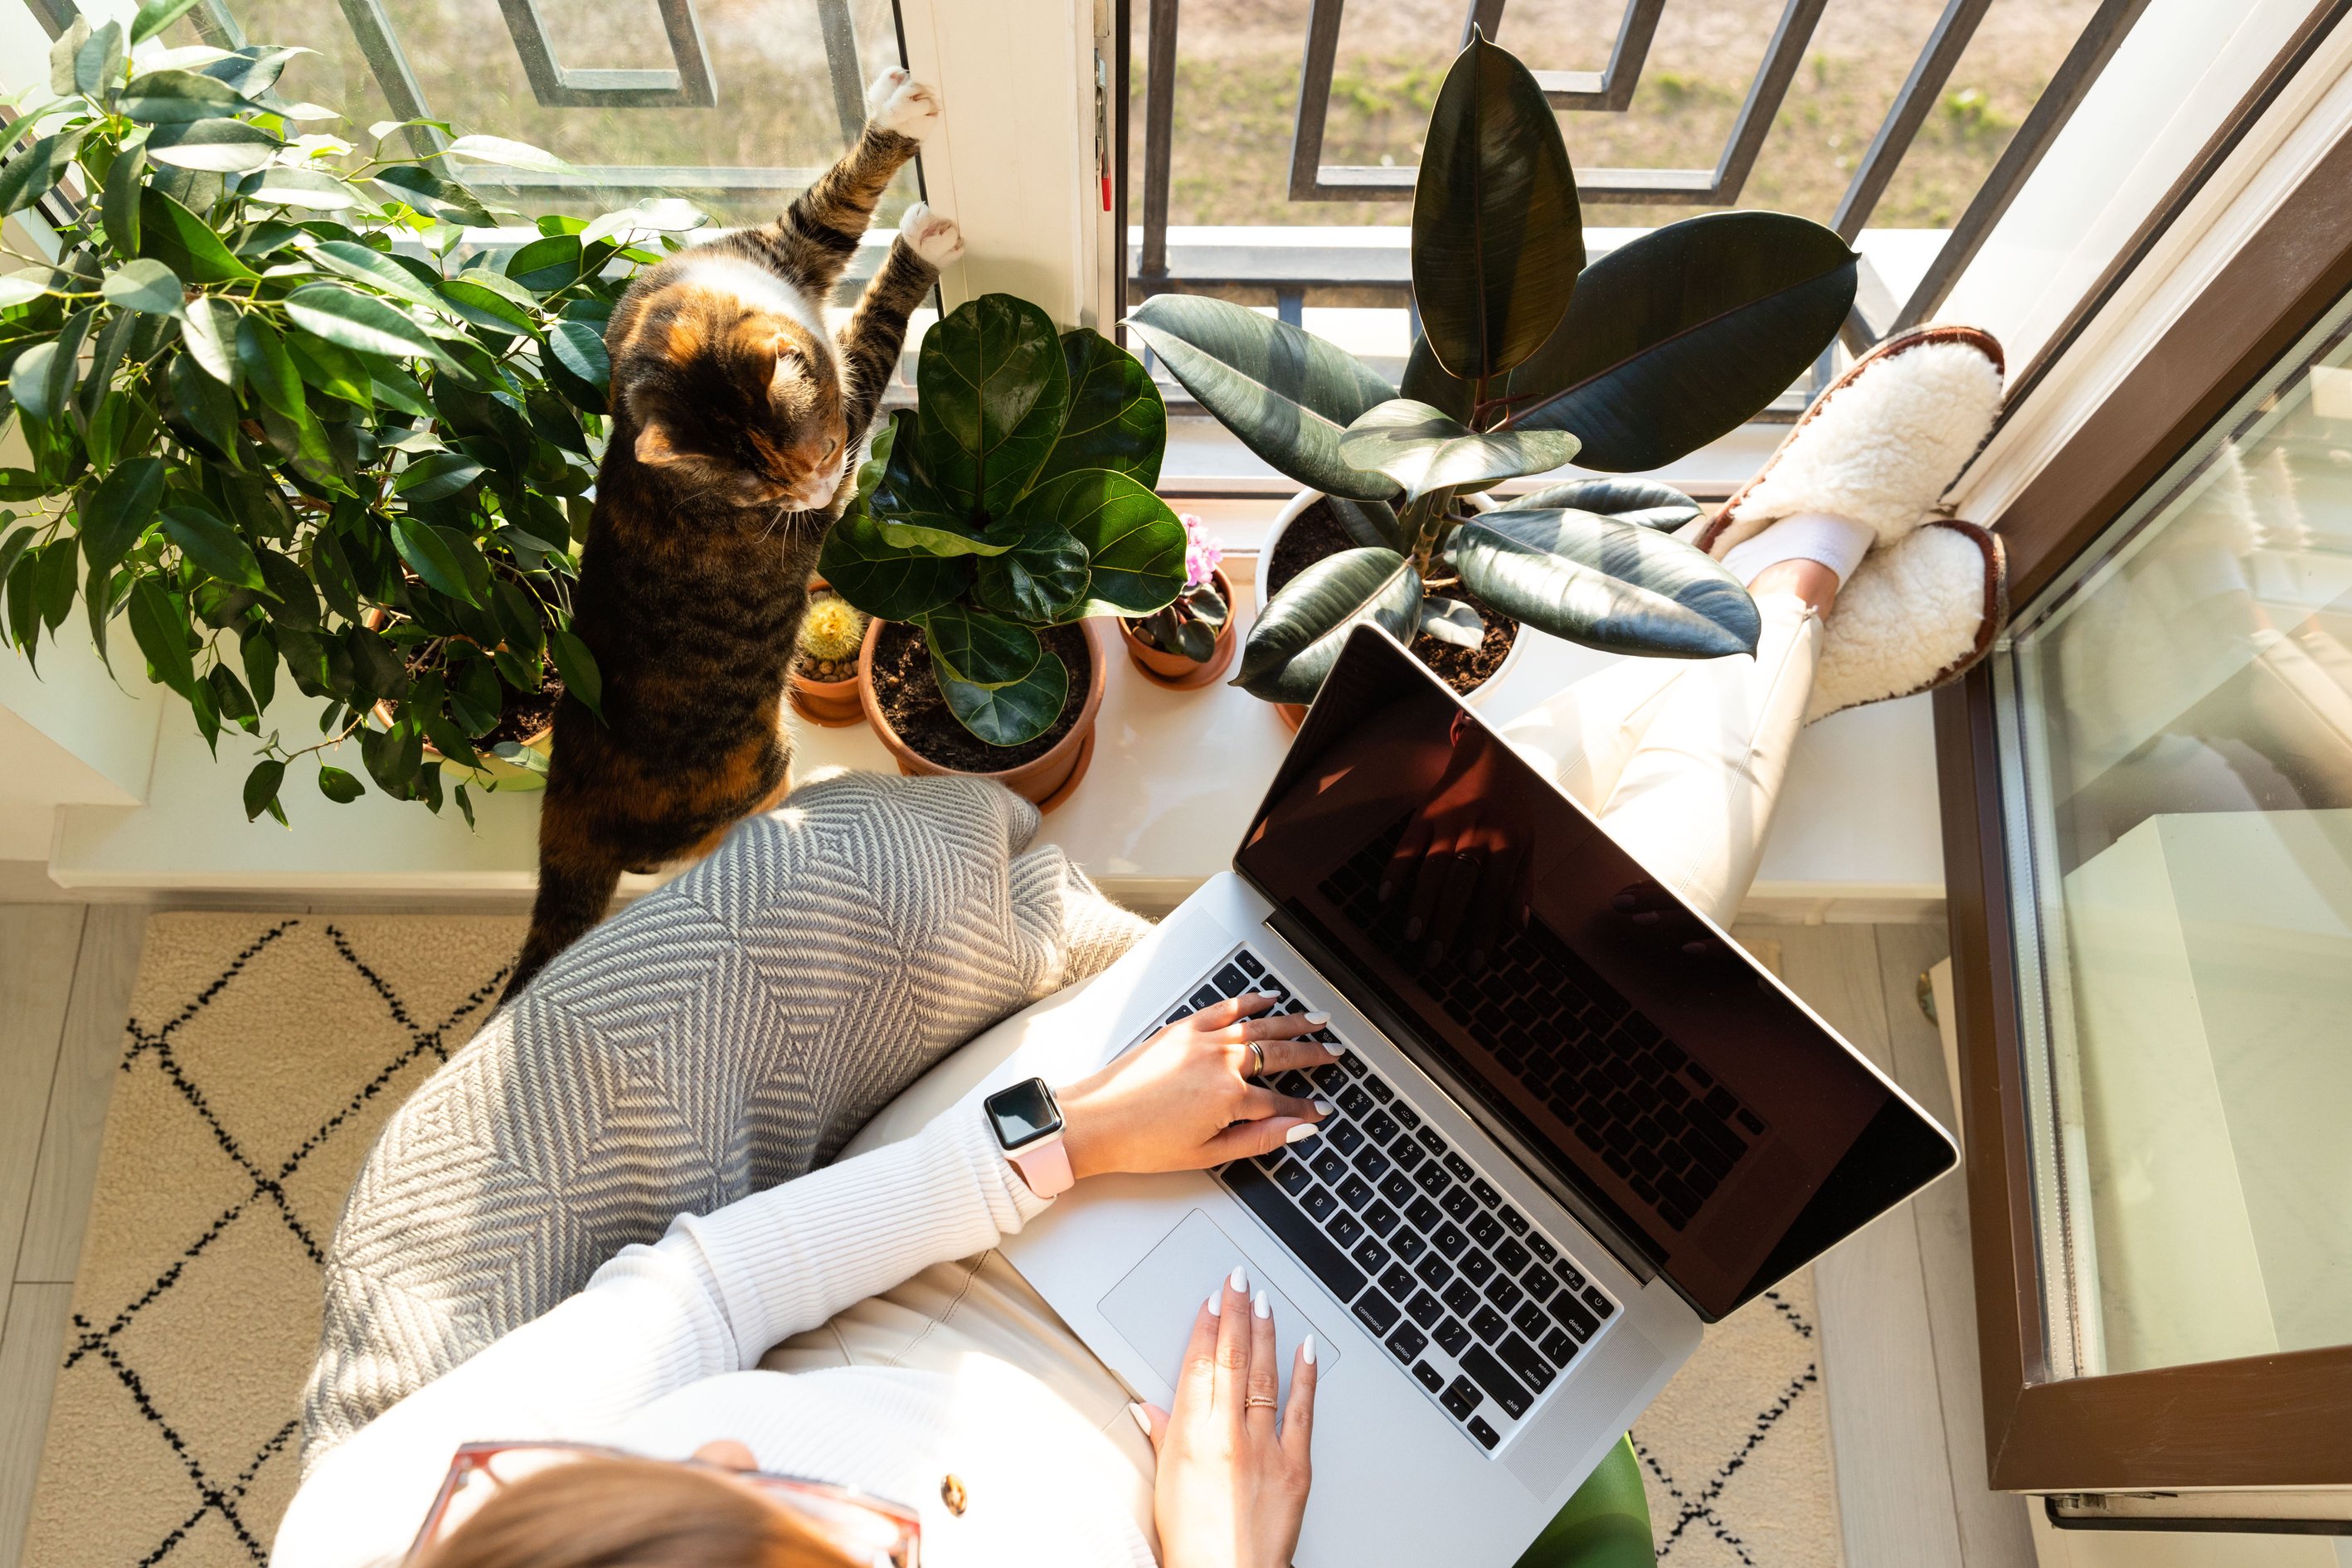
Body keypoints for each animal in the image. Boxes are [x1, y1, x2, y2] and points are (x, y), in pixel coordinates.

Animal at [503, 67, 964, 1001]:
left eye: (808, 455)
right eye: (768, 487)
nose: (818, 487)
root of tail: (566, 810)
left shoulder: (783, 248)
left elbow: (833, 201)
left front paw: (896, 116)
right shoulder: (850, 415)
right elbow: (872, 331)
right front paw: (921, 243)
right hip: (752, 766)